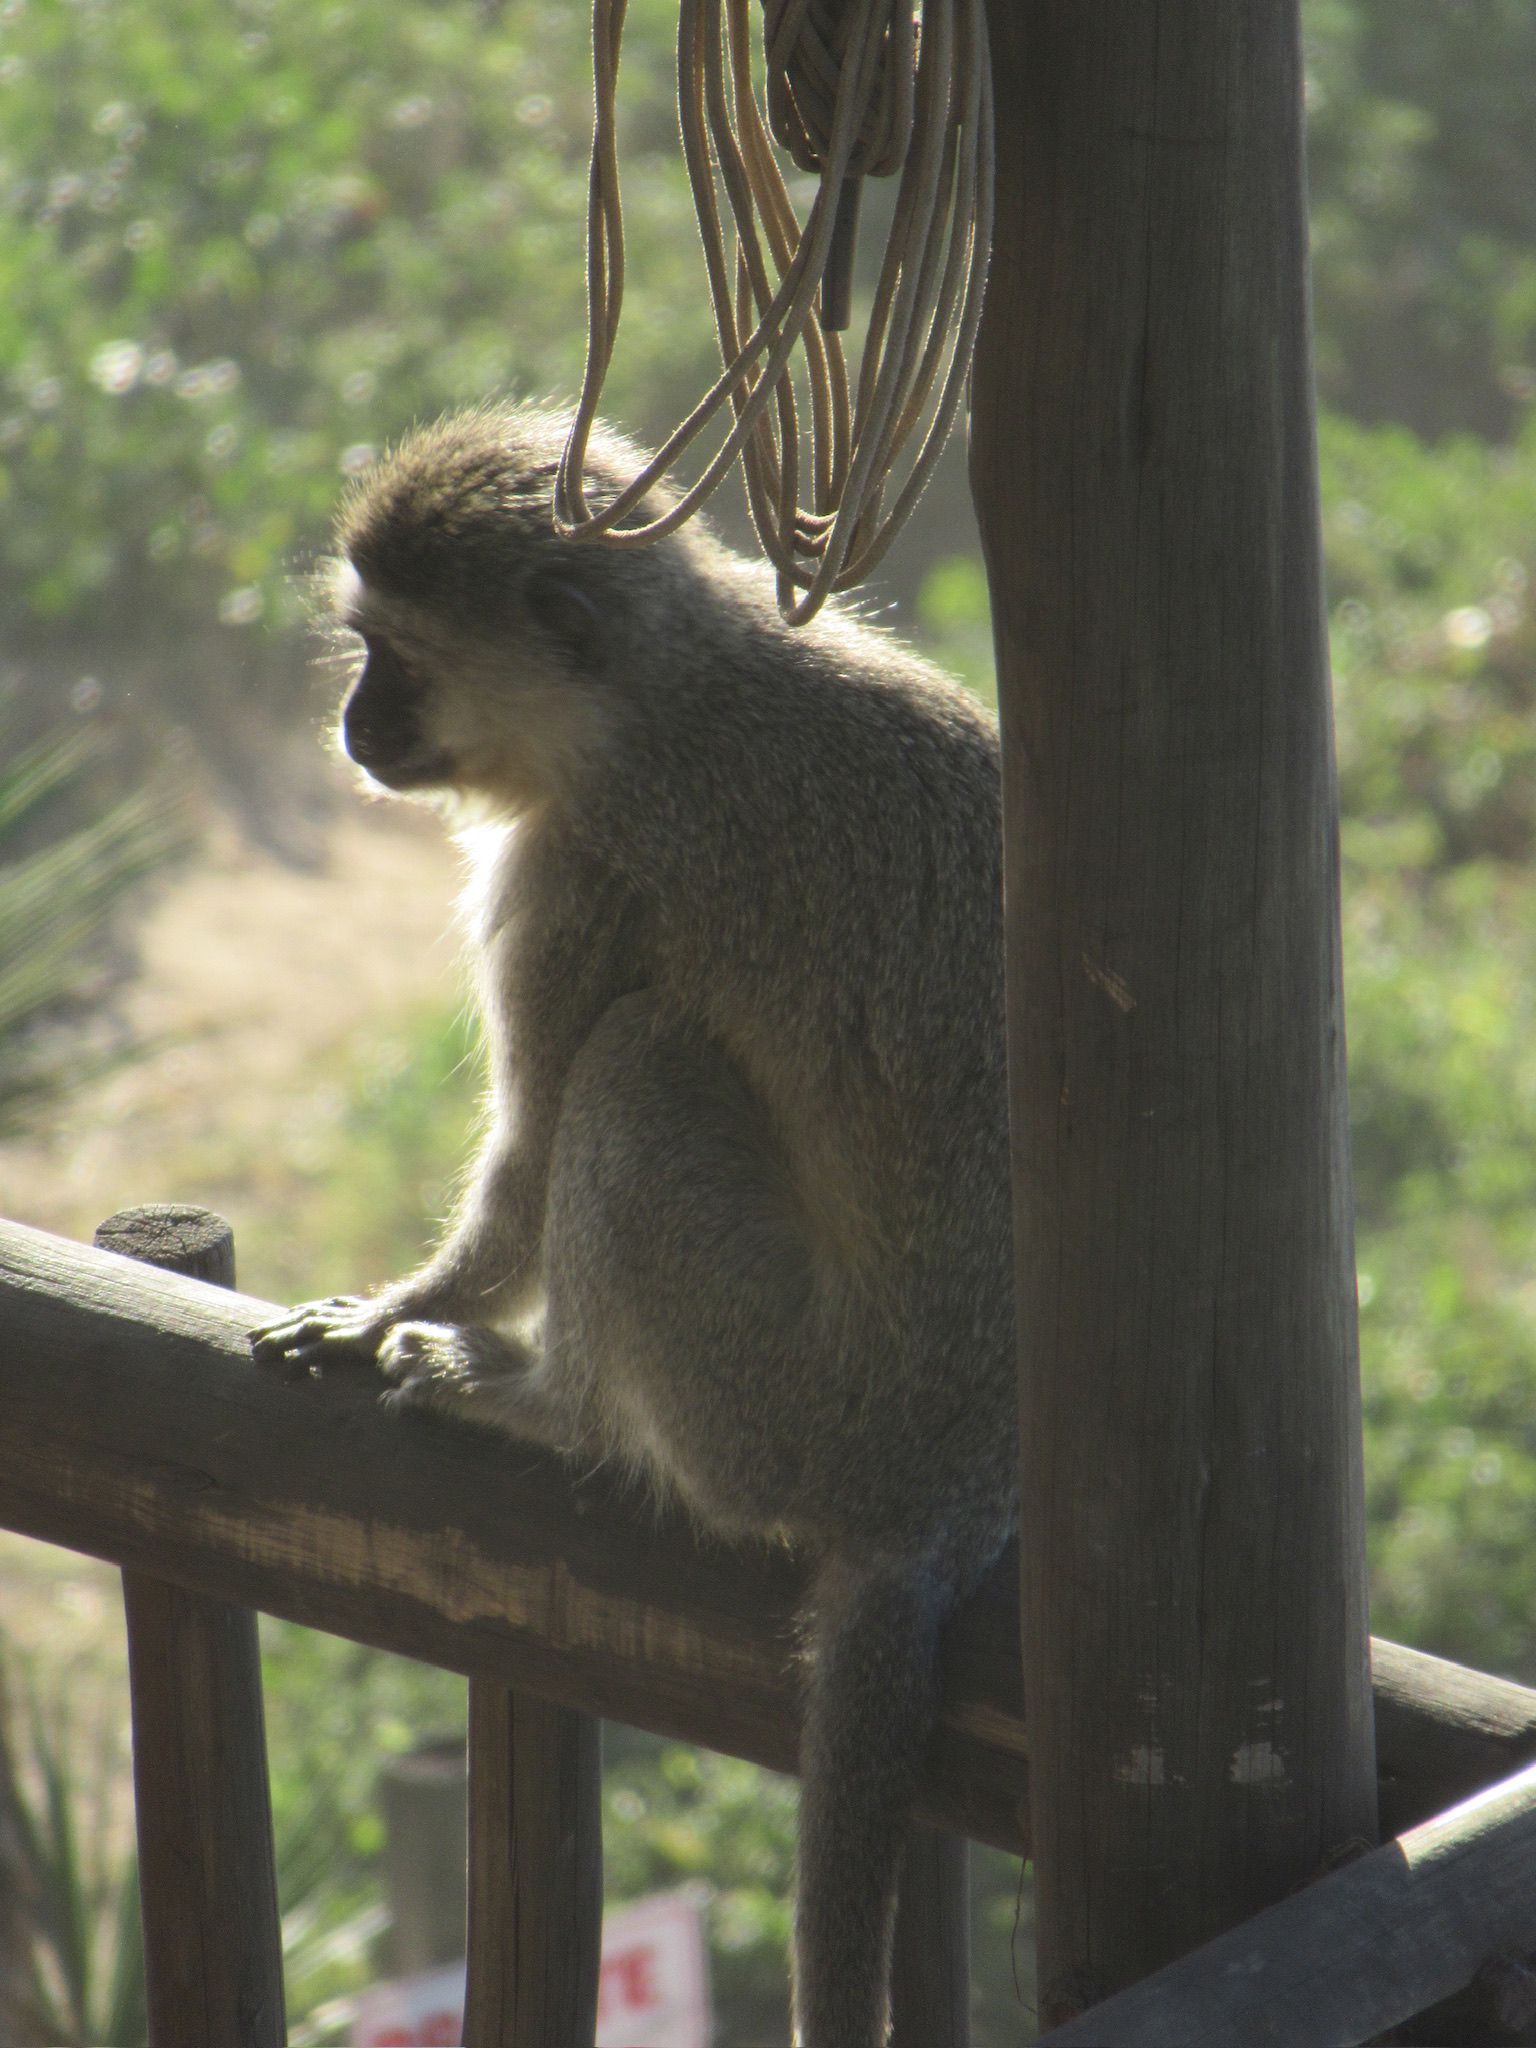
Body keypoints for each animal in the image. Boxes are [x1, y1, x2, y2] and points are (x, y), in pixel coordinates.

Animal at [250, 402, 1016, 2048]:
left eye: (399, 655)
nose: (352, 722)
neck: (658, 692)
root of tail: (934, 1500)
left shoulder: (581, 868)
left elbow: (538, 1149)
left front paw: (408, 1306)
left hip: (767, 1399)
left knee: (636, 1064)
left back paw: (552, 1407)